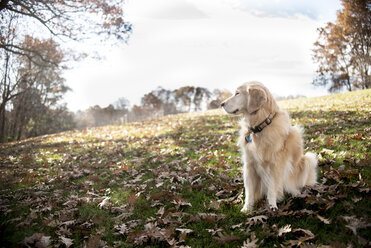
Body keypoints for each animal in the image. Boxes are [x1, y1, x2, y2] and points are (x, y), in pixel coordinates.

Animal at [222, 81, 318, 211]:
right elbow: (249, 192)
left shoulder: (275, 165)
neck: (260, 127)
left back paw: (296, 193)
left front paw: (272, 207)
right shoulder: (249, 165)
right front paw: (247, 208)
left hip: (308, 159)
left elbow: (272, 189)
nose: (221, 104)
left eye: (237, 93)